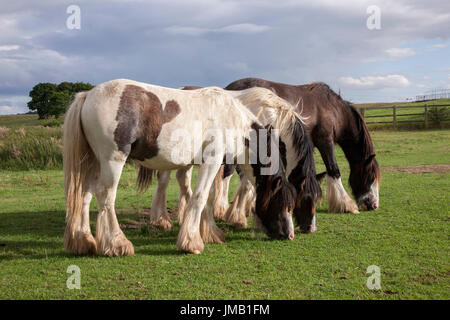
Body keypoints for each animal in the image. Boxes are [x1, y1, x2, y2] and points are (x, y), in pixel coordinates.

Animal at [62, 79, 296, 256]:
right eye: (284, 203)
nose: (289, 235)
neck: (230, 117)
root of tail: (87, 95)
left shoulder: (201, 164)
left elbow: (203, 197)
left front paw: (209, 232)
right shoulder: (212, 160)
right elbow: (200, 197)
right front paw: (192, 242)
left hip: (92, 162)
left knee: (85, 195)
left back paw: (84, 241)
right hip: (112, 161)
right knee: (105, 197)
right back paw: (117, 244)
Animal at [225, 77, 380, 212]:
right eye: (371, 176)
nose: (374, 205)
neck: (333, 109)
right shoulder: (325, 142)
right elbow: (334, 170)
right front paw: (345, 204)